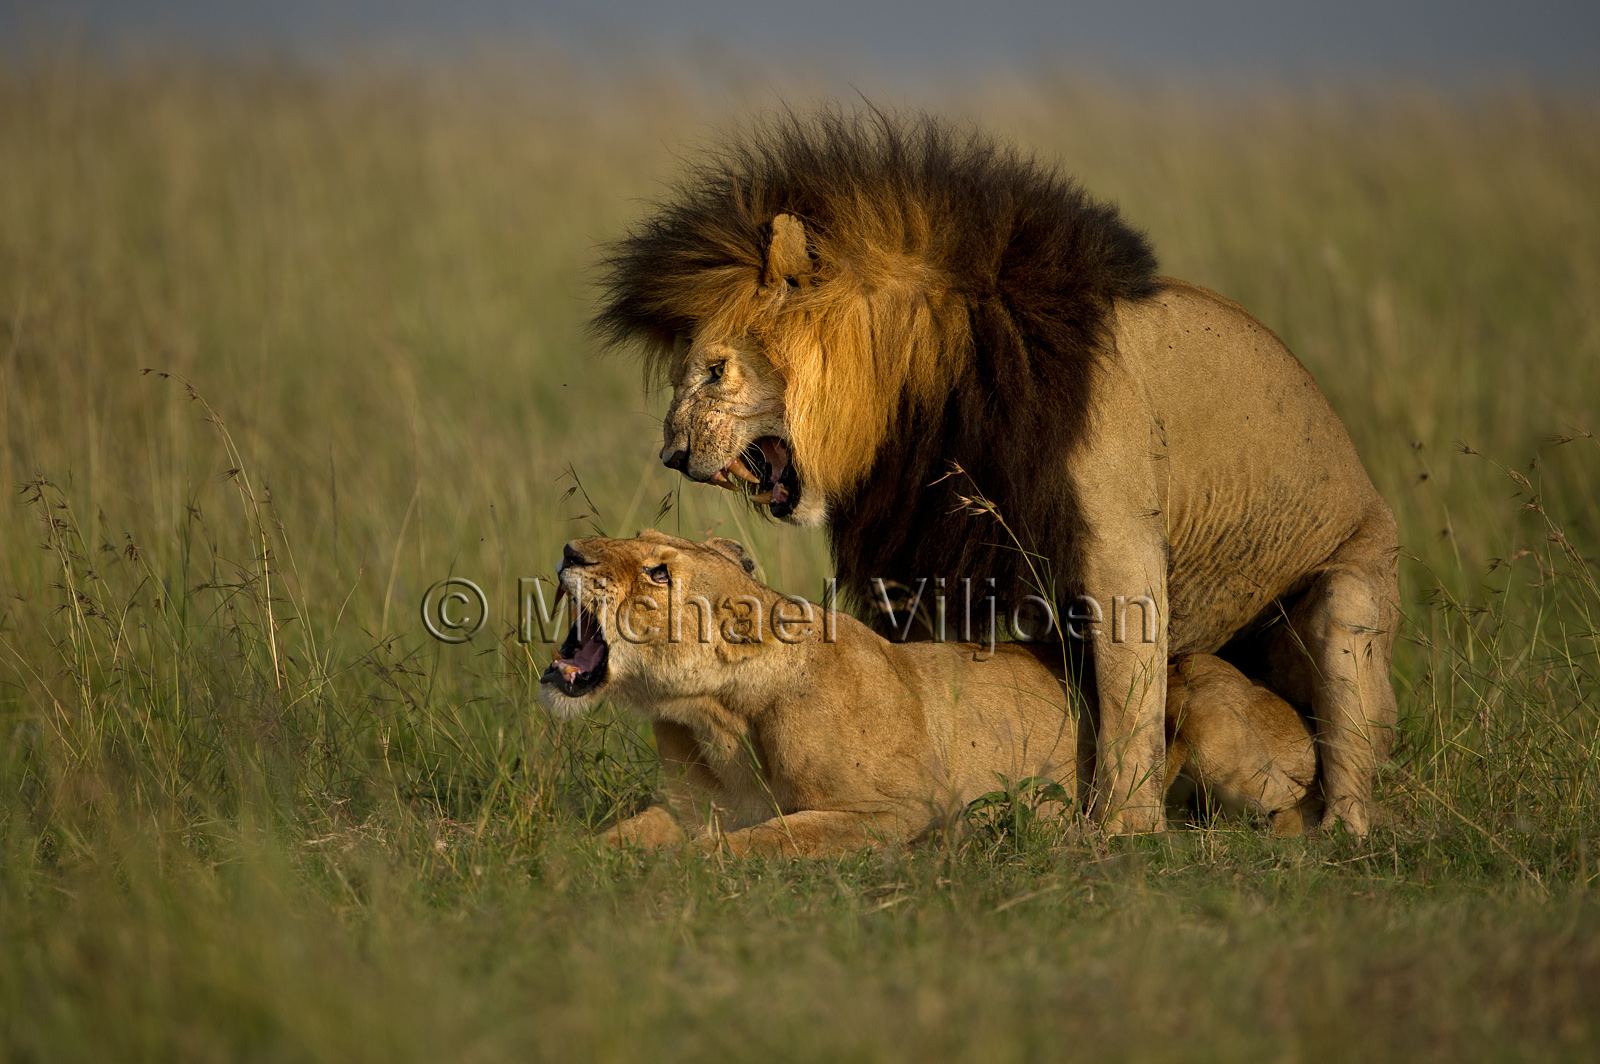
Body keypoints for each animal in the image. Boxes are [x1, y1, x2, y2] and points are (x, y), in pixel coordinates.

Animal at [537, 531, 1320, 855]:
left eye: (658, 572)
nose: (570, 553)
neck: (717, 716)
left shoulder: (896, 809)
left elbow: (762, 841)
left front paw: (678, 870)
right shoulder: (691, 807)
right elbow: (621, 834)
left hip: (1203, 708)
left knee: (1289, 806)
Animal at [594, 108, 1398, 835]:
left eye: (715, 371)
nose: (670, 455)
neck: (926, 386)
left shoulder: (1121, 543)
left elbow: (1129, 697)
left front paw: (1122, 832)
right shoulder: (927, 552)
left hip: (1351, 600)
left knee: (1347, 770)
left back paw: (1331, 833)